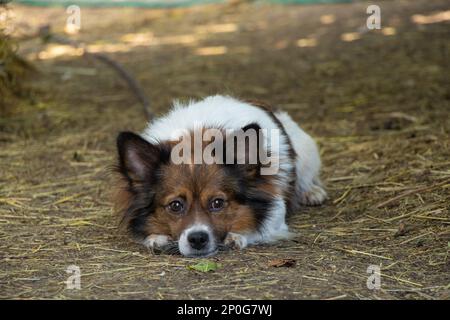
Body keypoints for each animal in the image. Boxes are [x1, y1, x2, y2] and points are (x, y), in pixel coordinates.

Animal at [114, 95, 326, 258]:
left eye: (217, 203)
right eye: (175, 205)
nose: (197, 239)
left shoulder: (275, 208)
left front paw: (236, 236)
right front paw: (156, 238)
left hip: (307, 151)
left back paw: (311, 192)